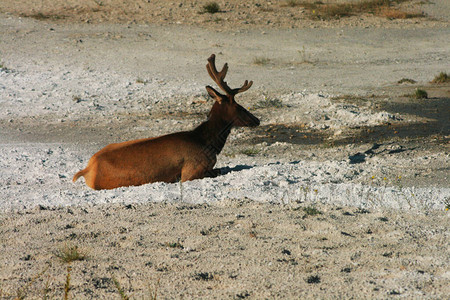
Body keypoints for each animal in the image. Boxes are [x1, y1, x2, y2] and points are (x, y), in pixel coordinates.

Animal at [72, 54, 258, 190]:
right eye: (239, 106)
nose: (257, 120)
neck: (208, 144)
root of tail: (87, 169)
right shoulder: (191, 171)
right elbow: (222, 170)